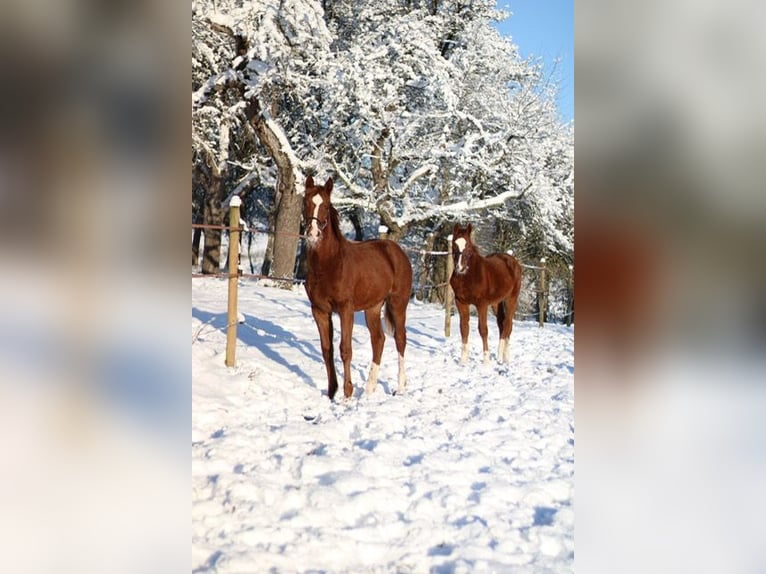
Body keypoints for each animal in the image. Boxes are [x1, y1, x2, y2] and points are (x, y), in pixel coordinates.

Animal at [450, 224, 520, 364]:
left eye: (468, 246)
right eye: (454, 244)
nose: (459, 267)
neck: (468, 276)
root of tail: (513, 261)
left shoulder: (481, 305)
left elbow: (483, 329)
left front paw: (486, 360)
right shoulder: (461, 302)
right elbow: (464, 328)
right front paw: (463, 360)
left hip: (511, 299)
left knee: (507, 324)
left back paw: (500, 355)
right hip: (496, 303)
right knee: (502, 324)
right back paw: (505, 357)